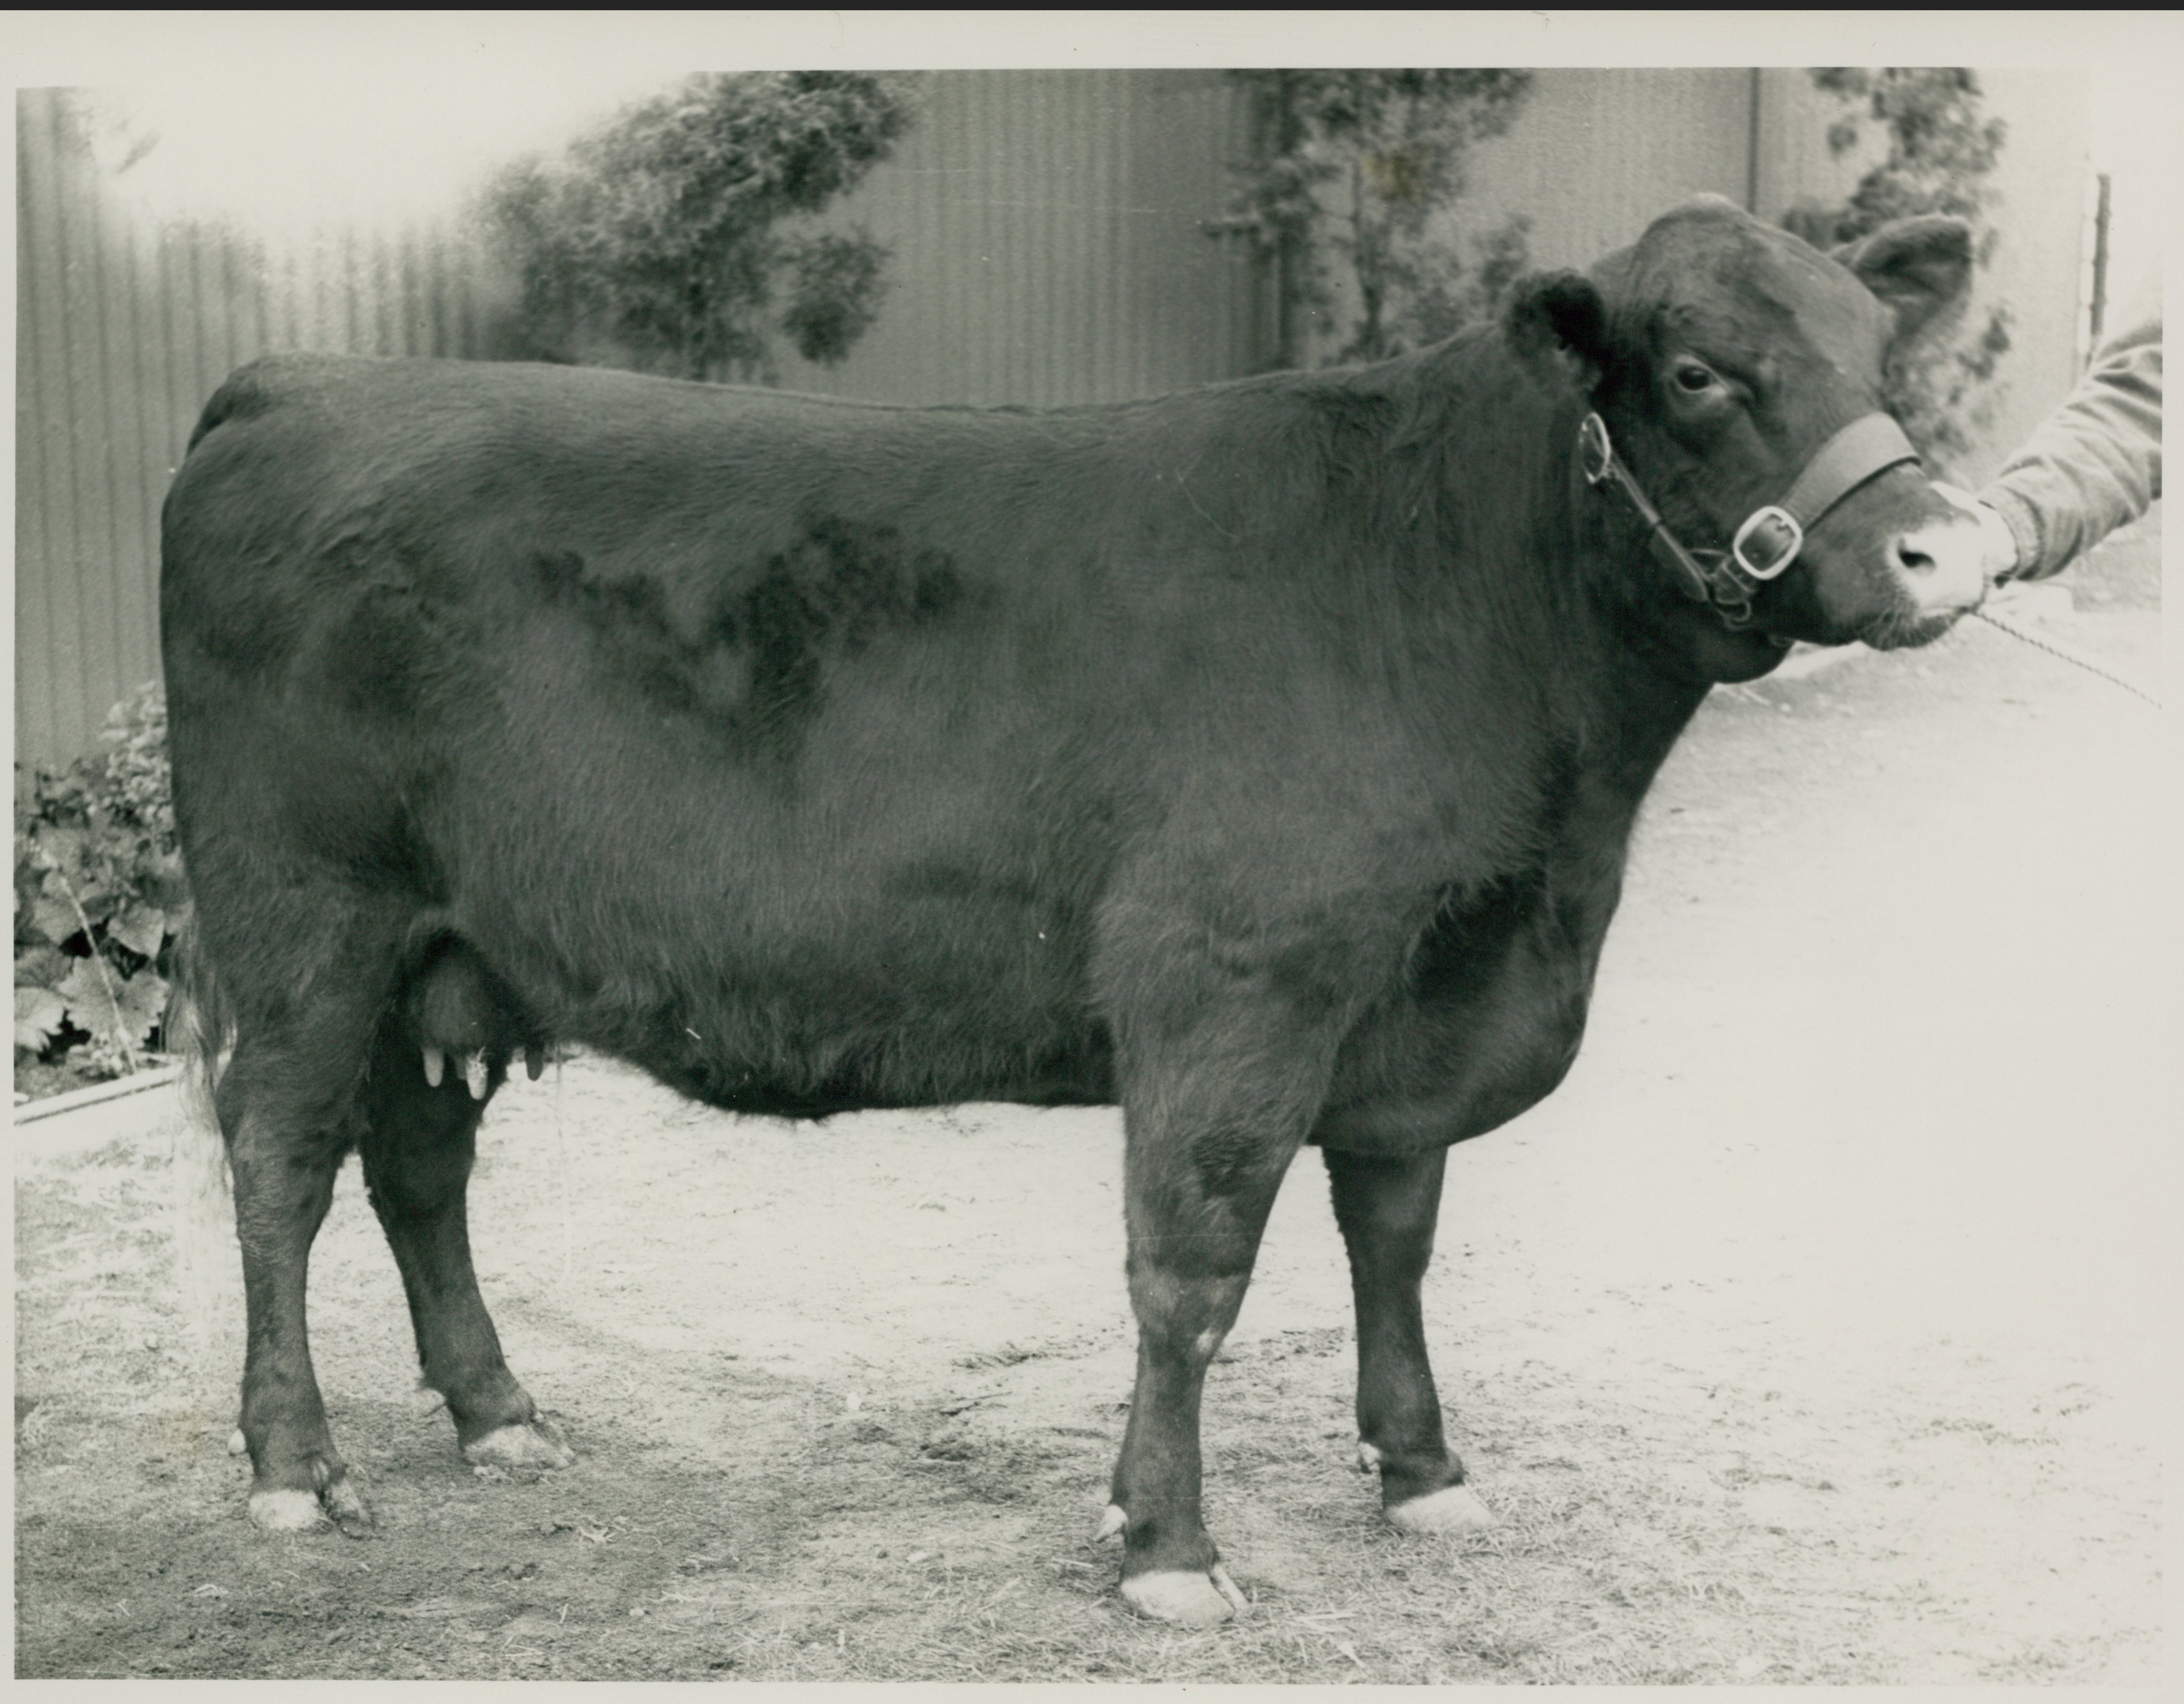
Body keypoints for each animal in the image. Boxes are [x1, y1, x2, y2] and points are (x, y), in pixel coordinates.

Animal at [162, 196, 1987, 1627]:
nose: (1943, 551)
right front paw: (1168, 1544)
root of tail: (299, 378)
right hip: (304, 920)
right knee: (279, 1167)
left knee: (416, 1165)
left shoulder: (1411, 1005)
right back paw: (296, 1464)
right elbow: (1192, 1269)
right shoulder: (1232, 981)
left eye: (1873, 350)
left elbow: (1392, 1236)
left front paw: (1418, 1465)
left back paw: (498, 1415)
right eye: (1695, 372)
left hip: (440, 947)